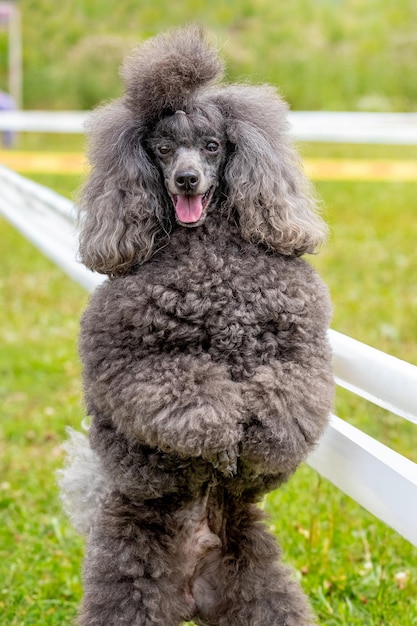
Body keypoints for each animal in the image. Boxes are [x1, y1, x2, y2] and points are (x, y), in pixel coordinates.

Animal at [57, 25, 334, 624]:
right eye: (161, 148)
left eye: (212, 145)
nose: (186, 179)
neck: (210, 257)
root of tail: (189, 592)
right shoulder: (136, 360)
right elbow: (194, 399)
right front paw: (223, 439)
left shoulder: (296, 349)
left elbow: (285, 400)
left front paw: (258, 445)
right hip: (132, 566)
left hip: (255, 579)